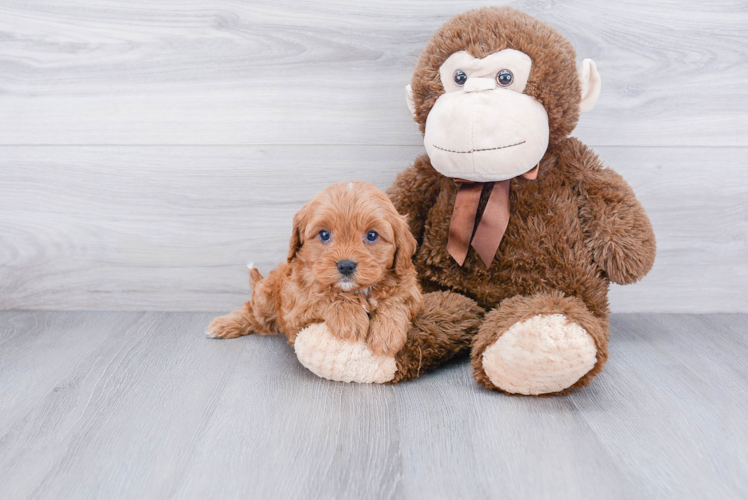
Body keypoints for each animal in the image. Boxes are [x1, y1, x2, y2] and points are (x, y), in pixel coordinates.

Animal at [207, 182, 424, 358]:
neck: (357, 292)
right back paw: (222, 325)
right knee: (251, 312)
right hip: (265, 299)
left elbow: (396, 302)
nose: (346, 265)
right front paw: (349, 317)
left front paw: (387, 334)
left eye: (372, 235)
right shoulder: (297, 310)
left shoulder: (412, 293)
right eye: (324, 234)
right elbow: (323, 295)